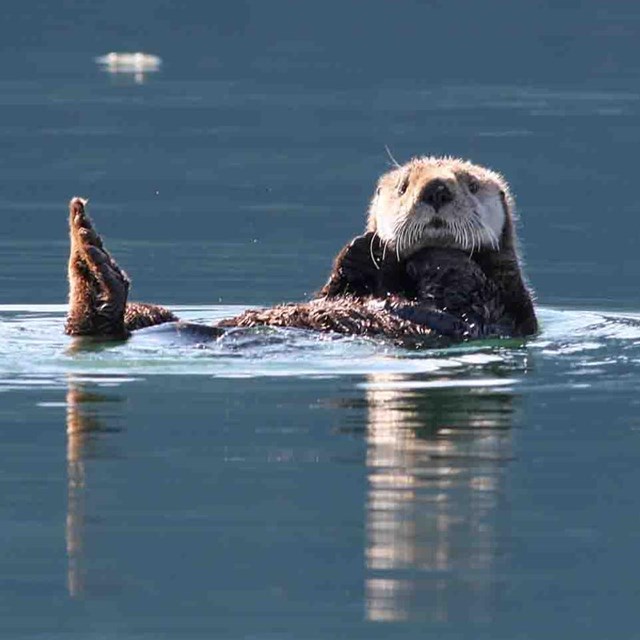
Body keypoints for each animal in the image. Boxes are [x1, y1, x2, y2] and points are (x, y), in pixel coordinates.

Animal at [63, 156, 536, 344]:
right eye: (404, 186)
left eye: (470, 185)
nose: (436, 189)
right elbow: (338, 287)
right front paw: (365, 246)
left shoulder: (506, 309)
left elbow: (467, 289)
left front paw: (435, 256)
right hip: (154, 315)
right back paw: (87, 252)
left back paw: (92, 260)